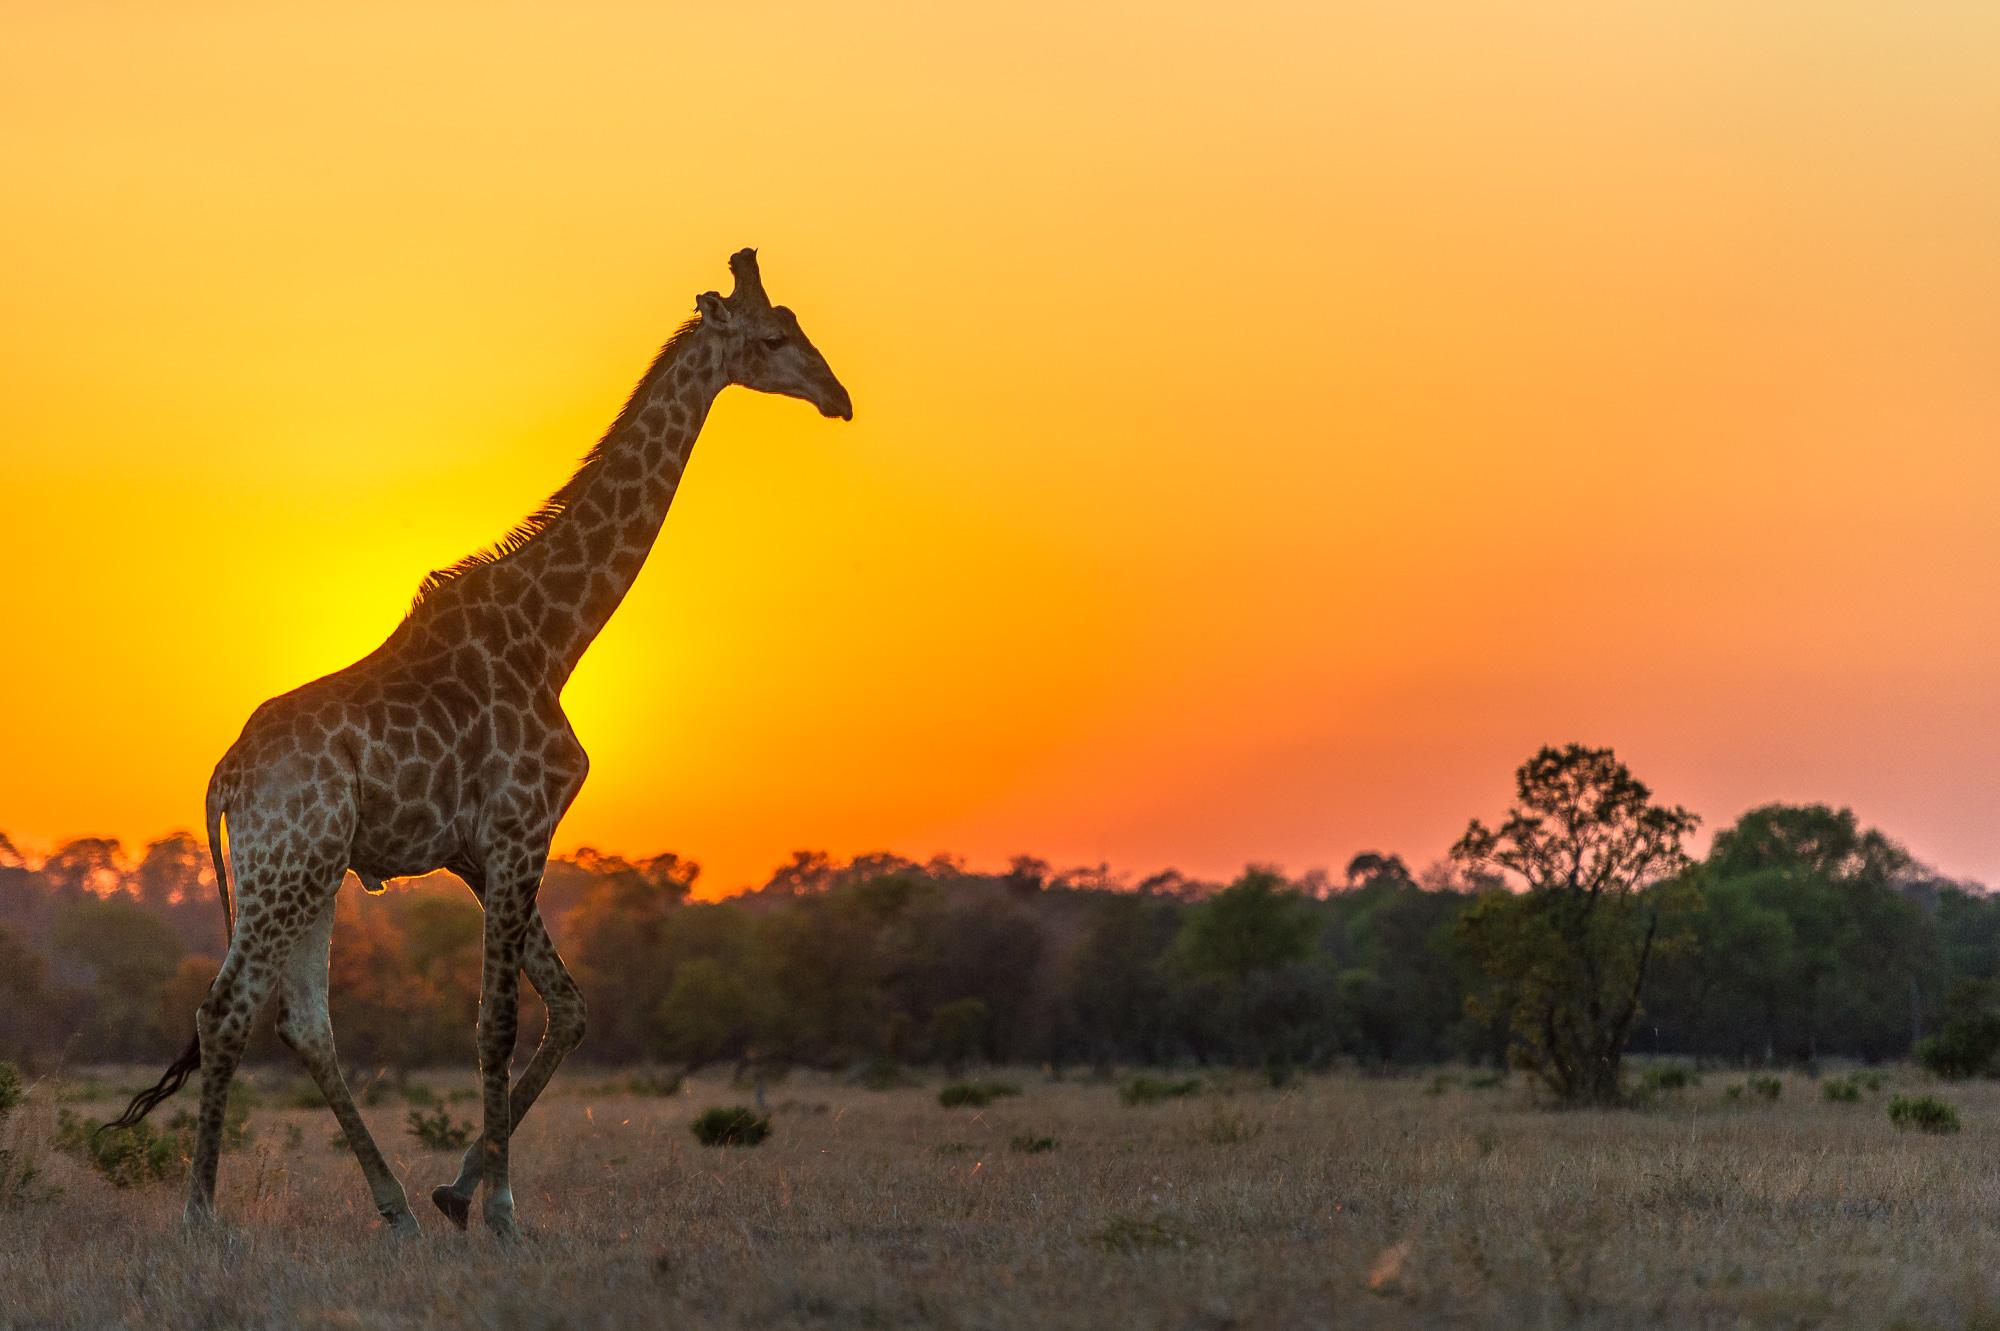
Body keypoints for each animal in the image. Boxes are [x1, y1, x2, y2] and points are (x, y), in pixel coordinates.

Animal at [104, 248, 852, 1238]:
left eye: (799, 323)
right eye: (771, 339)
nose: (838, 396)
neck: (555, 636)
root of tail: (225, 777)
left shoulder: (478, 849)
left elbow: (567, 1008)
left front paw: (457, 1191)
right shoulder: (519, 826)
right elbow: (500, 1018)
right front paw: (498, 1207)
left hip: (312, 870)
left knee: (302, 1020)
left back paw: (394, 1207)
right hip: (287, 863)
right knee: (225, 1009)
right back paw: (199, 1214)